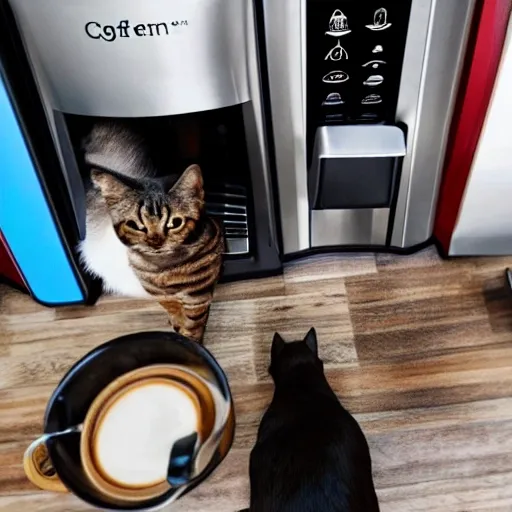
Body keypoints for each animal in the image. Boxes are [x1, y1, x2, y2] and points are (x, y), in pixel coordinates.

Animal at [77, 122, 223, 342]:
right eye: (135, 225)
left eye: (175, 222)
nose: (155, 242)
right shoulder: (158, 292)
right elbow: (172, 308)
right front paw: (177, 325)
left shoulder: (198, 295)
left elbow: (194, 322)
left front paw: (191, 338)